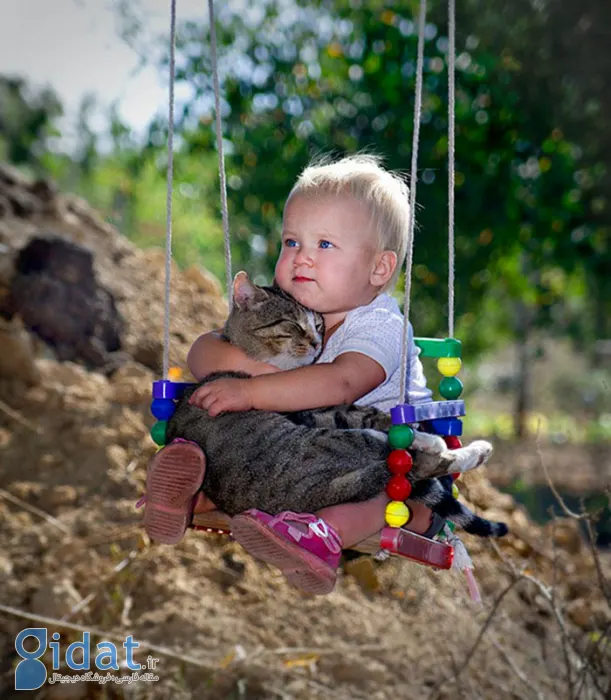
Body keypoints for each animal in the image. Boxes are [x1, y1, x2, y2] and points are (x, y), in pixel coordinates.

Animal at [167, 272, 506, 536]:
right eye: (292, 324)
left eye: (318, 325)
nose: (317, 342)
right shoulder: (314, 411)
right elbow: (370, 415)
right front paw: (427, 438)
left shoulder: (317, 409)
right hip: (338, 443)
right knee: (415, 462)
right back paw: (465, 448)